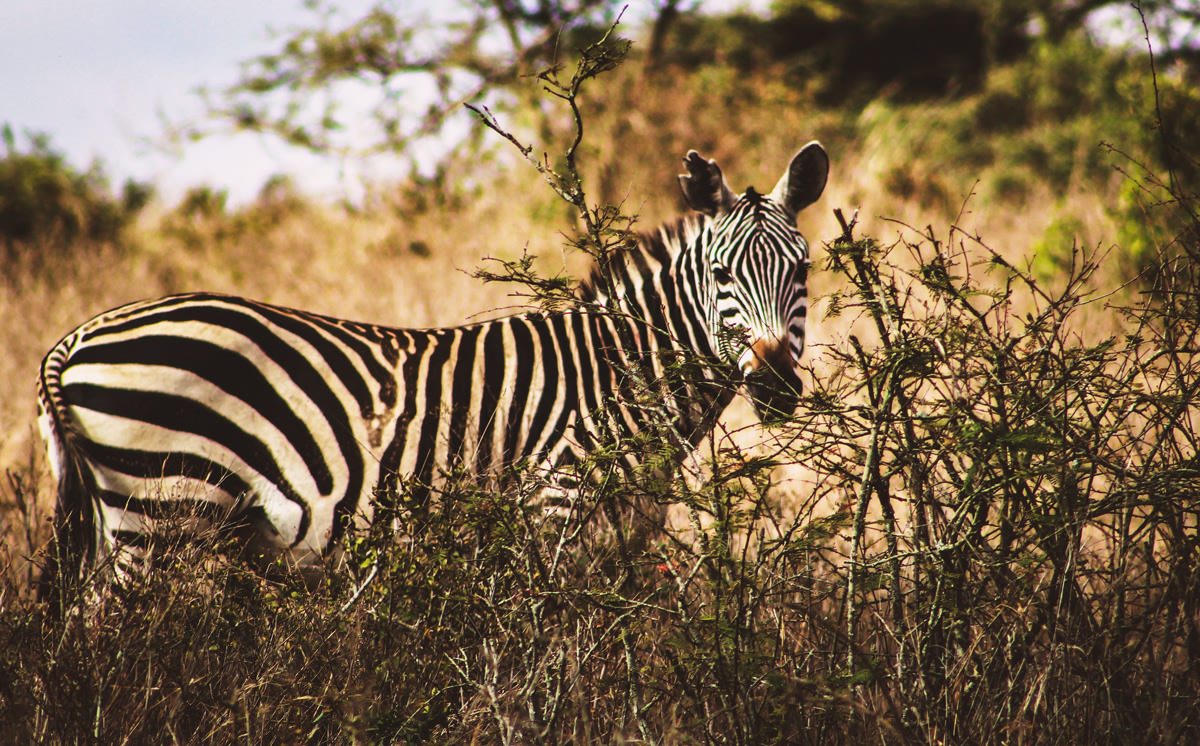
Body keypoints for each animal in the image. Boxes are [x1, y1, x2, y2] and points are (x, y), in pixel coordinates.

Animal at [35, 141, 825, 597]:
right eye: (720, 274)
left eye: (803, 270)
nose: (775, 386)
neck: (623, 375)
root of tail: (75, 337)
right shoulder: (555, 511)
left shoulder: (625, 534)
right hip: (159, 512)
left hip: (117, 518)